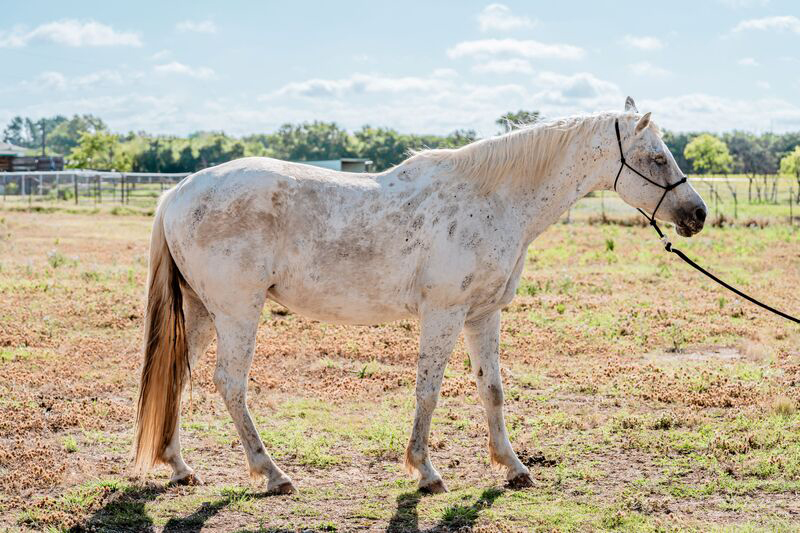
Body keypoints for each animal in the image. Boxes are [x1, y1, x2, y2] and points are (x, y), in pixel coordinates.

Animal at [136, 97, 708, 492]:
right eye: (656, 158)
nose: (697, 214)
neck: (493, 199)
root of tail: (178, 192)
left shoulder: (483, 315)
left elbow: (491, 391)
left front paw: (513, 467)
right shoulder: (444, 314)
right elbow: (428, 391)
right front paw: (425, 471)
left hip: (203, 312)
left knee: (177, 376)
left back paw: (180, 467)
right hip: (238, 312)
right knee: (230, 384)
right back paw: (272, 473)